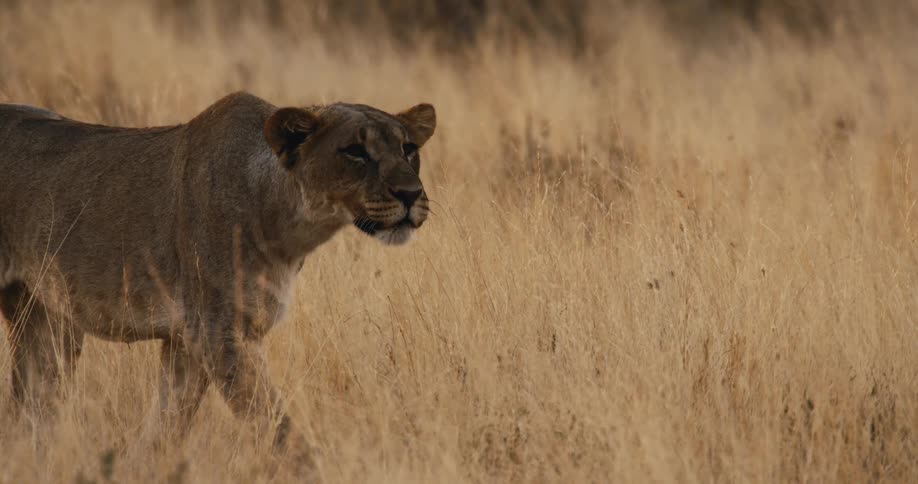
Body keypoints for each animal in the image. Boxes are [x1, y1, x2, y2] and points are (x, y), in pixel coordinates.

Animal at [0, 92, 435, 474]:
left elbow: (166, 424)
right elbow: (276, 426)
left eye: (408, 148)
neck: (287, 227)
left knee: (32, 411)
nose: (411, 193)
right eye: (355, 151)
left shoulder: (185, 341)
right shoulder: (218, 333)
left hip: (46, 321)